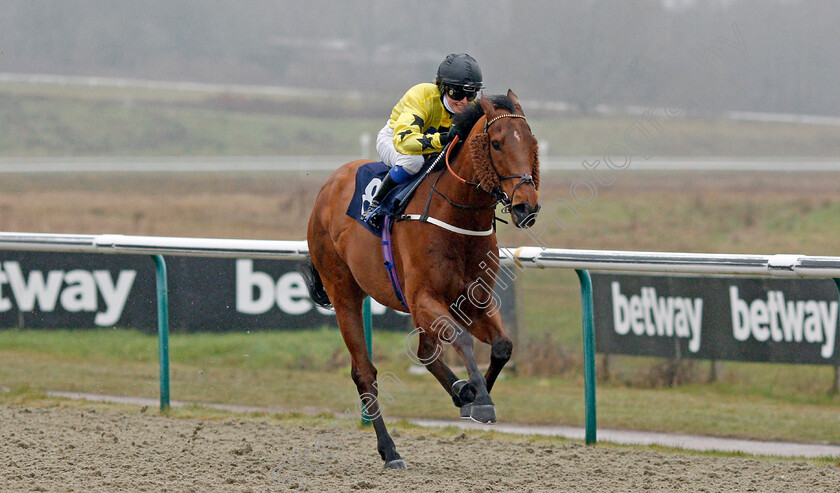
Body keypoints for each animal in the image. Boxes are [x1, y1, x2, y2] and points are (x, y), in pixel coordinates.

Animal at [306, 90, 540, 468]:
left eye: (532, 142)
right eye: (496, 143)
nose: (525, 206)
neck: (458, 218)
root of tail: (328, 186)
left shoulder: (475, 301)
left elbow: (503, 346)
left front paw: (474, 393)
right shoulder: (424, 298)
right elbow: (461, 339)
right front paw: (479, 398)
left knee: (426, 350)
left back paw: (460, 391)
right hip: (343, 291)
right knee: (364, 372)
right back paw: (390, 451)